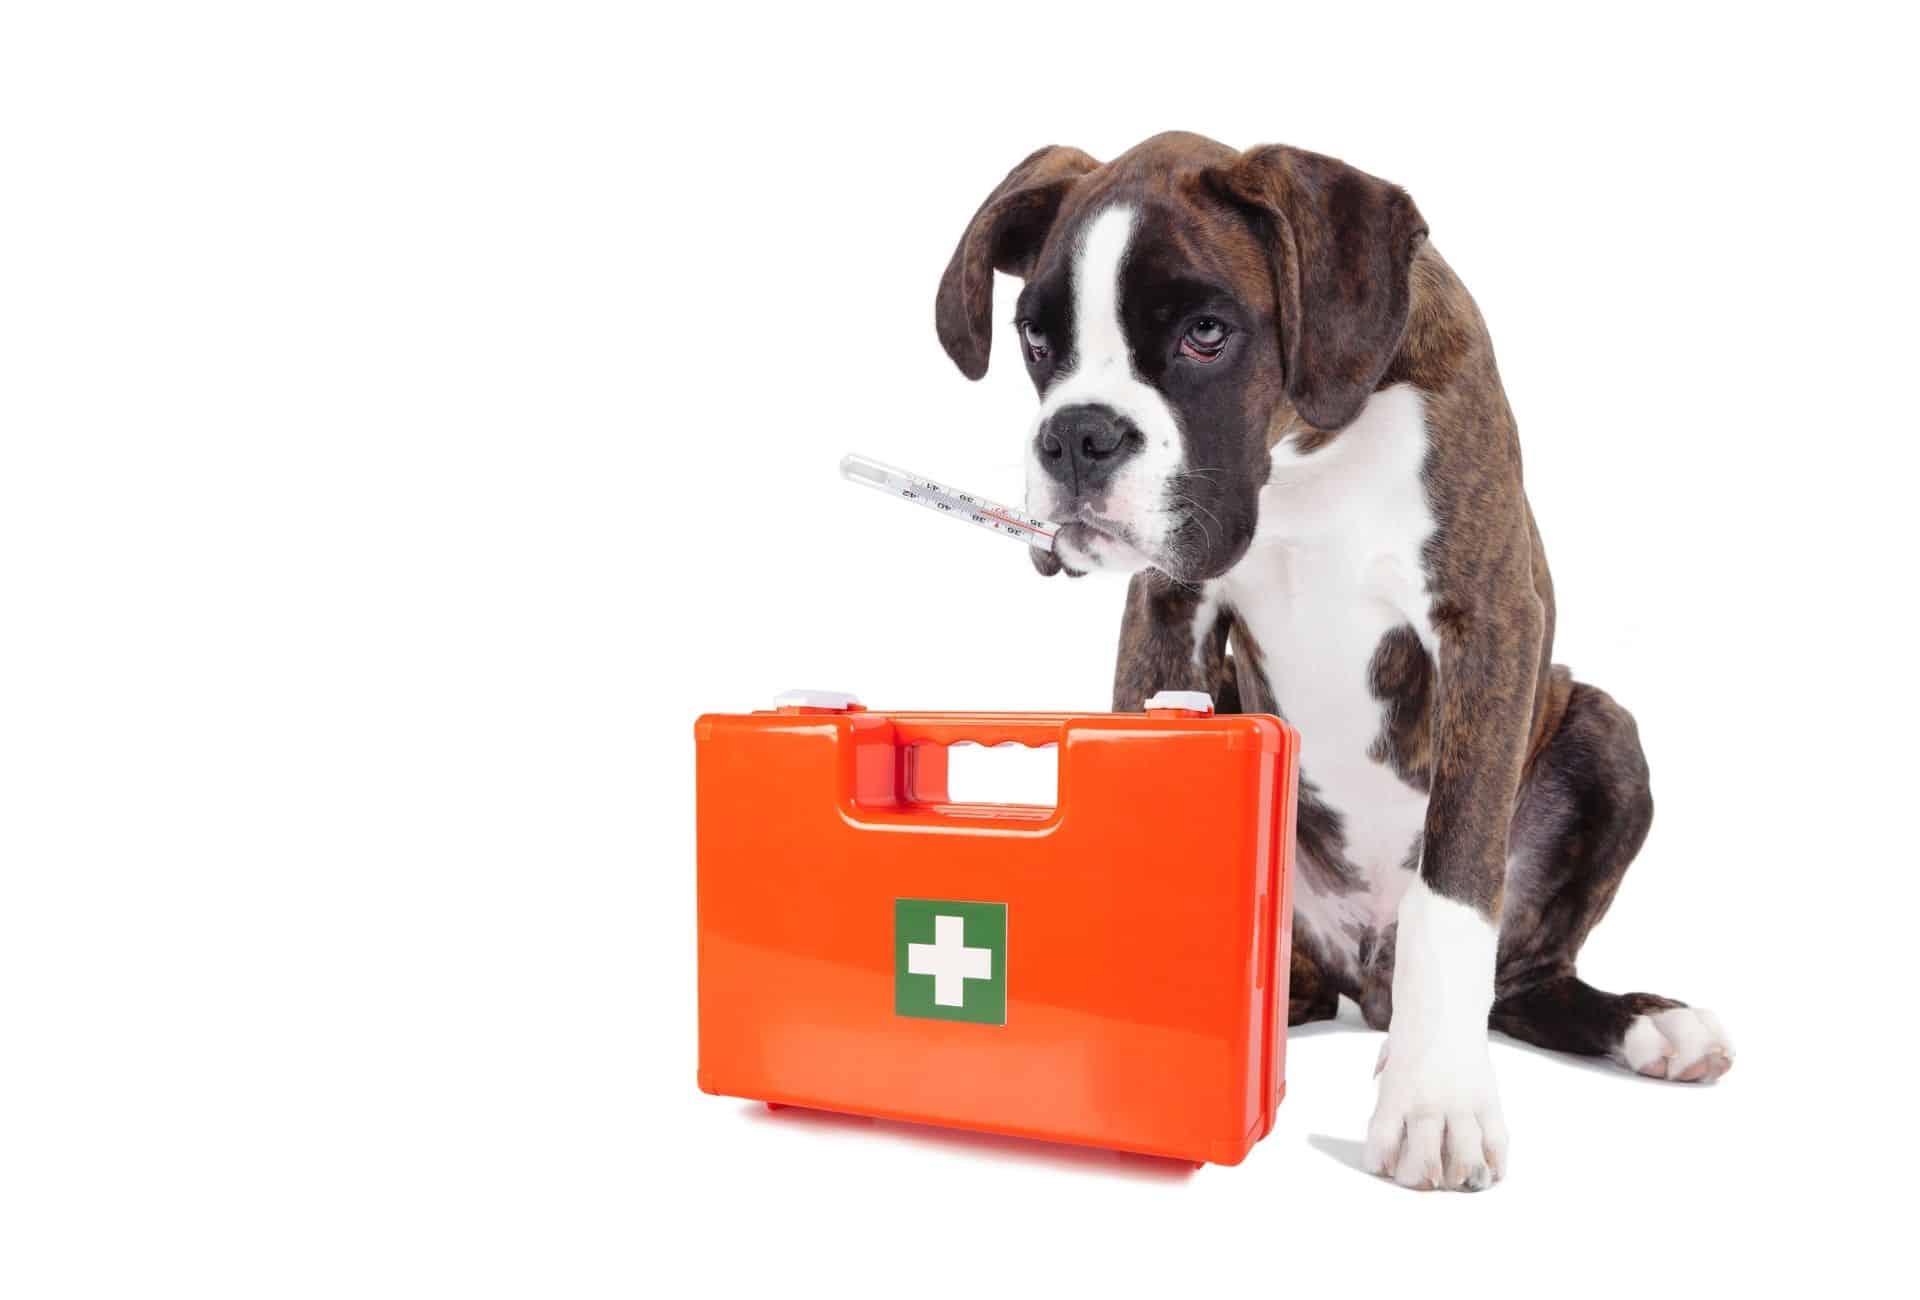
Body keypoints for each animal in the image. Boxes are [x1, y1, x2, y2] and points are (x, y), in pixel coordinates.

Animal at [936, 131, 1735, 1182]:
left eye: (1206, 333)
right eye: (1036, 340)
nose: (1077, 434)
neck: (1304, 450)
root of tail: (1362, 972)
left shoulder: (1488, 623)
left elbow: (1456, 885)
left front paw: (1437, 1099)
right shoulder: (1168, 607)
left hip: (1604, 731)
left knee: (1519, 978)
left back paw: (1650, 1027)